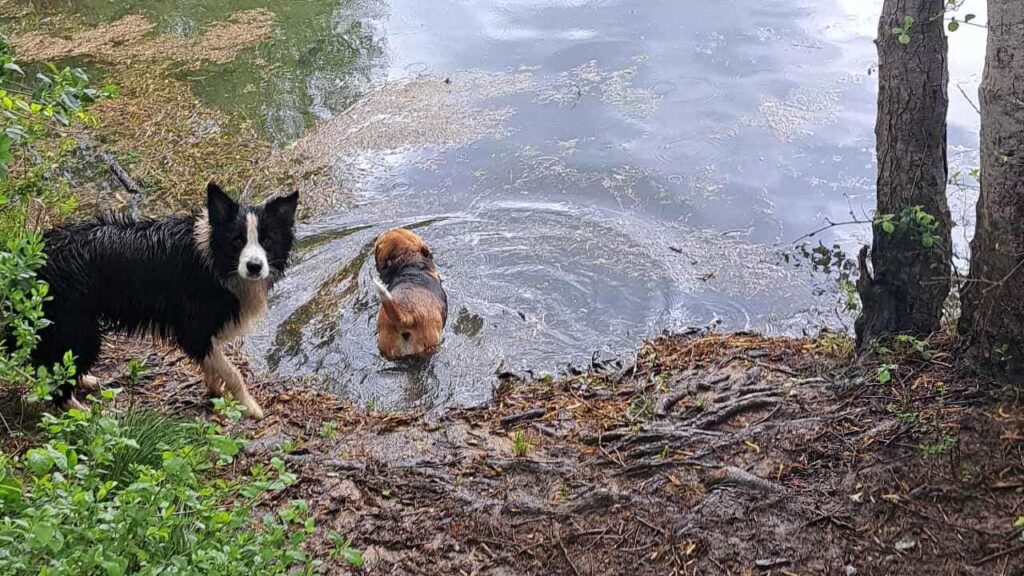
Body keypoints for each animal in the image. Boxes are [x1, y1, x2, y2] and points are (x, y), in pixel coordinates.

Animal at [32, 181, 296, 414]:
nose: (254, 267)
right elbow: (232, 372)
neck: (214, 260)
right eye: (237, 240)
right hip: (80, 330)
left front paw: (214, 390)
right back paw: (78, 410)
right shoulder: (192, 331)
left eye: (267, 241)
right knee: (54, 375)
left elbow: (214, 365)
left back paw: (85, 380)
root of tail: (37, 254)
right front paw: (251, 408)